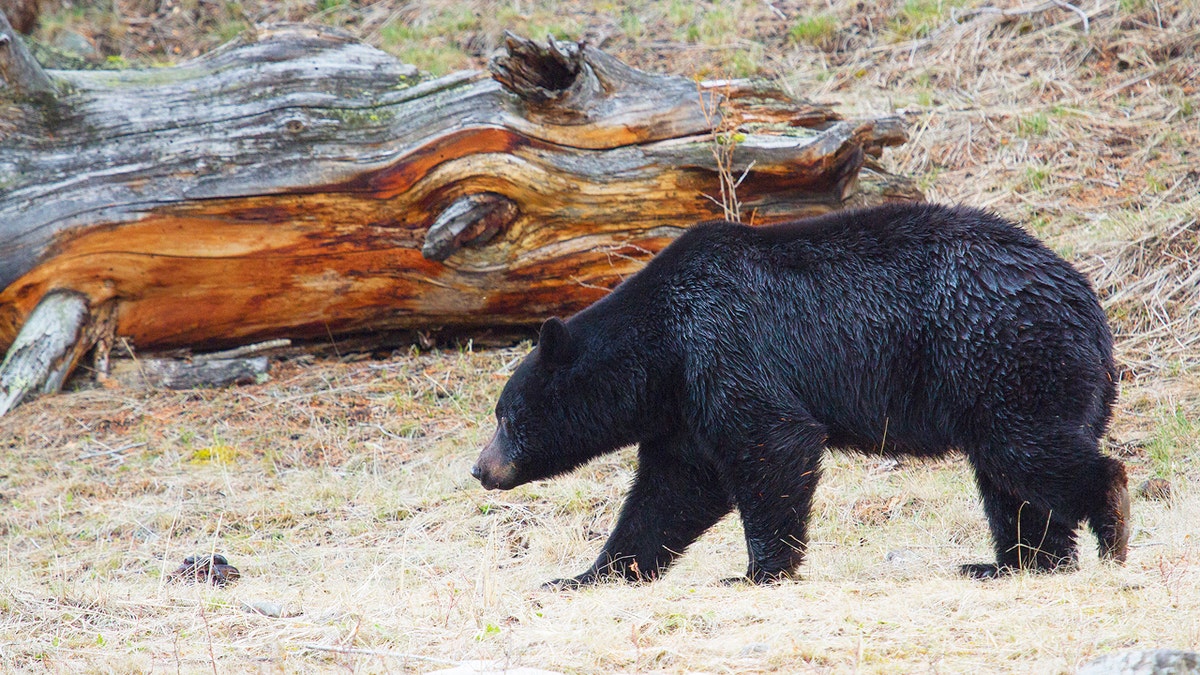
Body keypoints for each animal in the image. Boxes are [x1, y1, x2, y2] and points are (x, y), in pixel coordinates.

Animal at [472, 200, 1128, 583]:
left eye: (505, 416)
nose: (480, 468)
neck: (662, 343)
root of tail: (1090, 307)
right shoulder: (686, 401)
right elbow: (672, 489)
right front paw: (587, 574)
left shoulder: (724, 343)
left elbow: (771, 443)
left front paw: (757, 572)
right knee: (1011, 482)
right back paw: (1020, 564)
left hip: (1001, 356)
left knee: (1027, 452)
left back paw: (1111, 527)